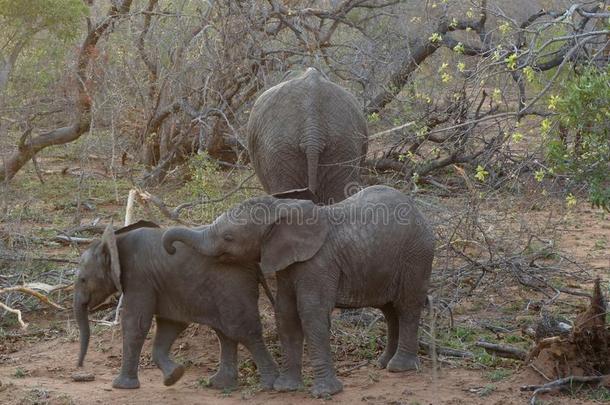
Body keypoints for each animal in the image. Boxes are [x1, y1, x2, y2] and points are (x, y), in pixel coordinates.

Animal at [163, 185, 432, 396]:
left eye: (229, 238)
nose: (170, 249)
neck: (281, 208)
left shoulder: (319, 263)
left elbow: (311, 313)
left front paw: (325, 393)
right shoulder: (288, 265)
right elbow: (286, 314)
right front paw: (286, 388)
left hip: (416, 255)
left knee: (407, 306)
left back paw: (400, 367)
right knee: (389, 310)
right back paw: (383, 363)